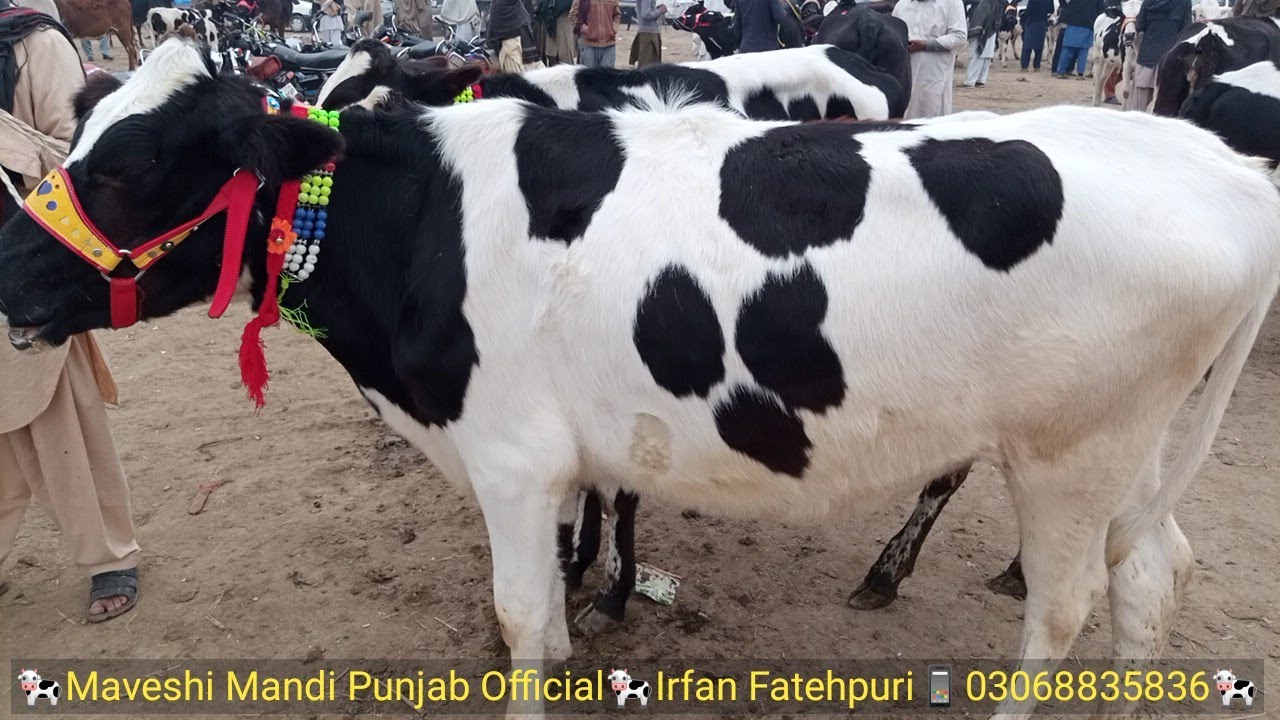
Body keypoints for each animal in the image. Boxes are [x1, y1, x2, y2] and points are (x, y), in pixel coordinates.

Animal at [3, 37, 1278, 719]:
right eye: (79, 136)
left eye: (126, 170)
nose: (10, 267)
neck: (421, 223)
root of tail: (1212, 162)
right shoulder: (560, 458)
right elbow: (560, 613)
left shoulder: (512, 461)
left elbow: (522, 617)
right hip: (1133, 458)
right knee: (1150, 577)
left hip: (1070, 455)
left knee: (1061, 612)